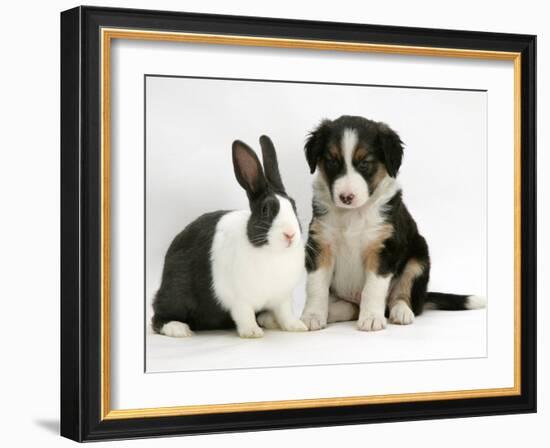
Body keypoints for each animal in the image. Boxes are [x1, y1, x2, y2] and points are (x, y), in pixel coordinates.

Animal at [151, 135, 308, 338]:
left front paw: (297, 326)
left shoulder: (283, 297)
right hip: (176, 292)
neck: (272, 252)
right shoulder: (239, 300)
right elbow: (245, 315)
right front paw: (252, 333)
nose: (290, 234)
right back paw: (178, 329)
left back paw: (269, 320)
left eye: (294, 206)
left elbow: (285, 314)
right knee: (157, 316)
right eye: (265, 210)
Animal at [302, 115, 488, 332]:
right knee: (351, 308)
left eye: (365, 163)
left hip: (419, 258)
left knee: (400, 298)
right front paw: (312, 316)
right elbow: (316, 286)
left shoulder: (384, 248)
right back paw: (332, 312)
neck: (353, 214)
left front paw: (371, 318)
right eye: (332, 161)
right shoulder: (321, 244)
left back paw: (401, 312)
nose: (346, 197)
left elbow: (373, 288)